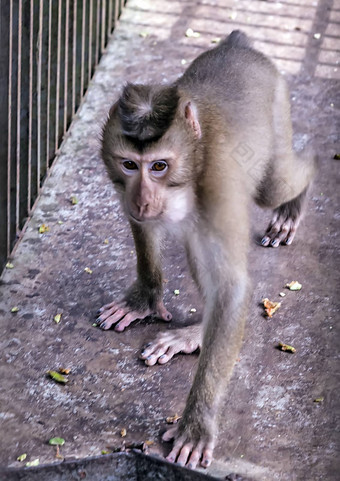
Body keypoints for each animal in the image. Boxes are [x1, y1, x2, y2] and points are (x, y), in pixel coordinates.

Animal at [98, 31, 316, 468]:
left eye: (159, 166)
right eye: (130, 165)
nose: (144, 199)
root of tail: (238, 44)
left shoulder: (218, 186)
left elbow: (232, 288)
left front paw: (196, 423)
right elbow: (144, 228)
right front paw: (143, 299)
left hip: (277, 110)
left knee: (277, 185)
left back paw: (295, 198)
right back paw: (197, 334)